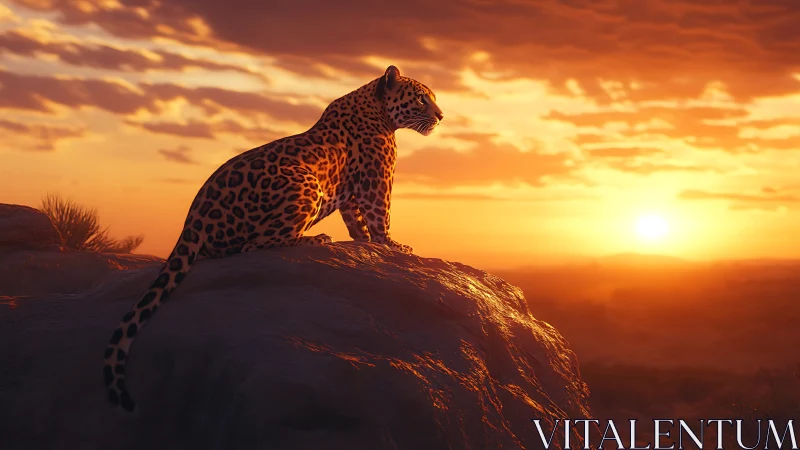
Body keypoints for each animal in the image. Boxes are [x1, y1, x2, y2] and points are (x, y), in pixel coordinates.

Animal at [102, 65, 444, 412]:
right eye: (421, 99)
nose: (441, 115)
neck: (376, 108)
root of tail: (191, 223)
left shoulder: (350, 192)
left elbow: (357, 220)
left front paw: (367, 242)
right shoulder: (377, 177)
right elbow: (379, 213)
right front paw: (392, 245)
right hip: (305, 182)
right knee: (254, 243)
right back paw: (317, 238)